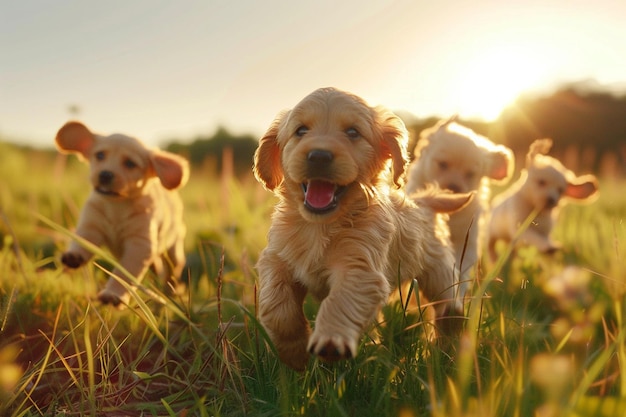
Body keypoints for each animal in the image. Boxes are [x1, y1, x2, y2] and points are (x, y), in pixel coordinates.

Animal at [55, 120, 188, 306]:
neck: (116, 207)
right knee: (158, 266)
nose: (105, 175)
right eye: (100, 155)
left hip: (174, 248)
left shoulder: (139, 245)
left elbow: (123, 274)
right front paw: (74, 255)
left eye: (130, 164)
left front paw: (113, 294)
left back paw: (174, 291)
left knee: (173, 270)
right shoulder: (91, 225)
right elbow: (82, 240)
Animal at [251, 86, 470, 368]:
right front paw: (294, 353)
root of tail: (422, 202)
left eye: (353, 132)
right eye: (300, 130)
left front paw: (331, 341)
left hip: (439, 271)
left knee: (447, 303)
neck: (319, 226)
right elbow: (276, 304)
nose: (318, 156)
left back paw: (448, 335)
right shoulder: (277, 258)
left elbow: (340, 301)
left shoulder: (360, 268)